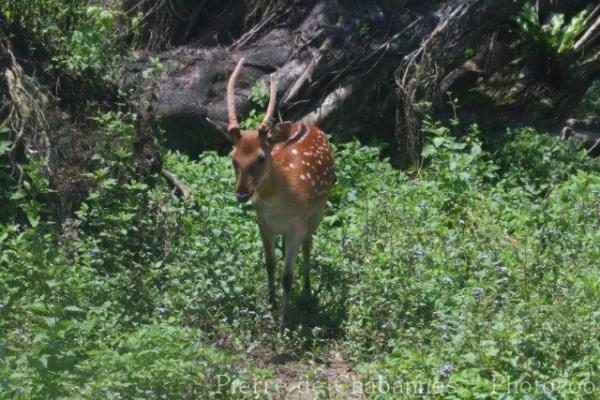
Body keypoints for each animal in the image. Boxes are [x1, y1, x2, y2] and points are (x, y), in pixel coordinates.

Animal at [226, 57, 336, 330]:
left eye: (261, 158)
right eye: (233, 159)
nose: (242, 193)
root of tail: (307, 123)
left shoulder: (297, 223)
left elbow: (287, 275)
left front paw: (284, 321)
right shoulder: (263, 221)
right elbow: (269, 263)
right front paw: (272, 303)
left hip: (318, 210)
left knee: (308, 244)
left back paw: (307, 292)